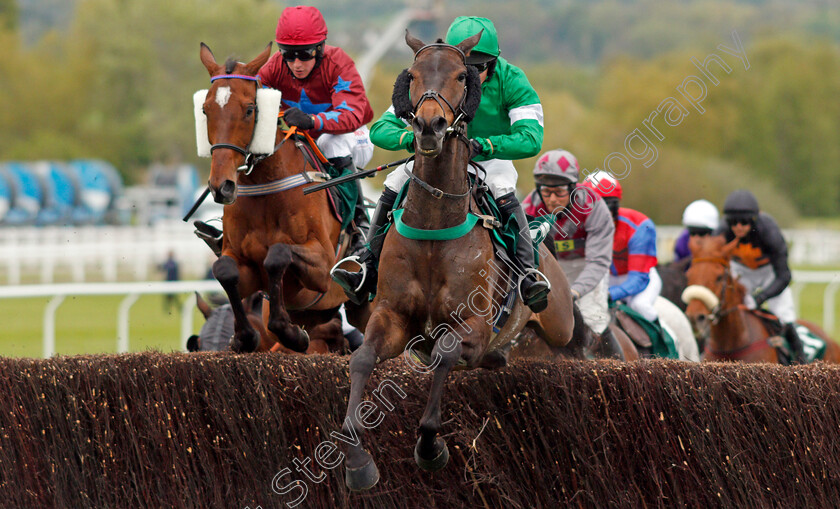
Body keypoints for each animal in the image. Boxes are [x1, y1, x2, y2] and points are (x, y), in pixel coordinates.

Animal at [199, 42, 370, 354]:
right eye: (205, 110)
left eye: (249, 109)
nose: (221, 186)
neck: (265, 188)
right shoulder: (243, 265)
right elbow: (225, 270)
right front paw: (243, 337)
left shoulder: (323, 265)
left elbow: (278, 254)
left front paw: (290, 333)